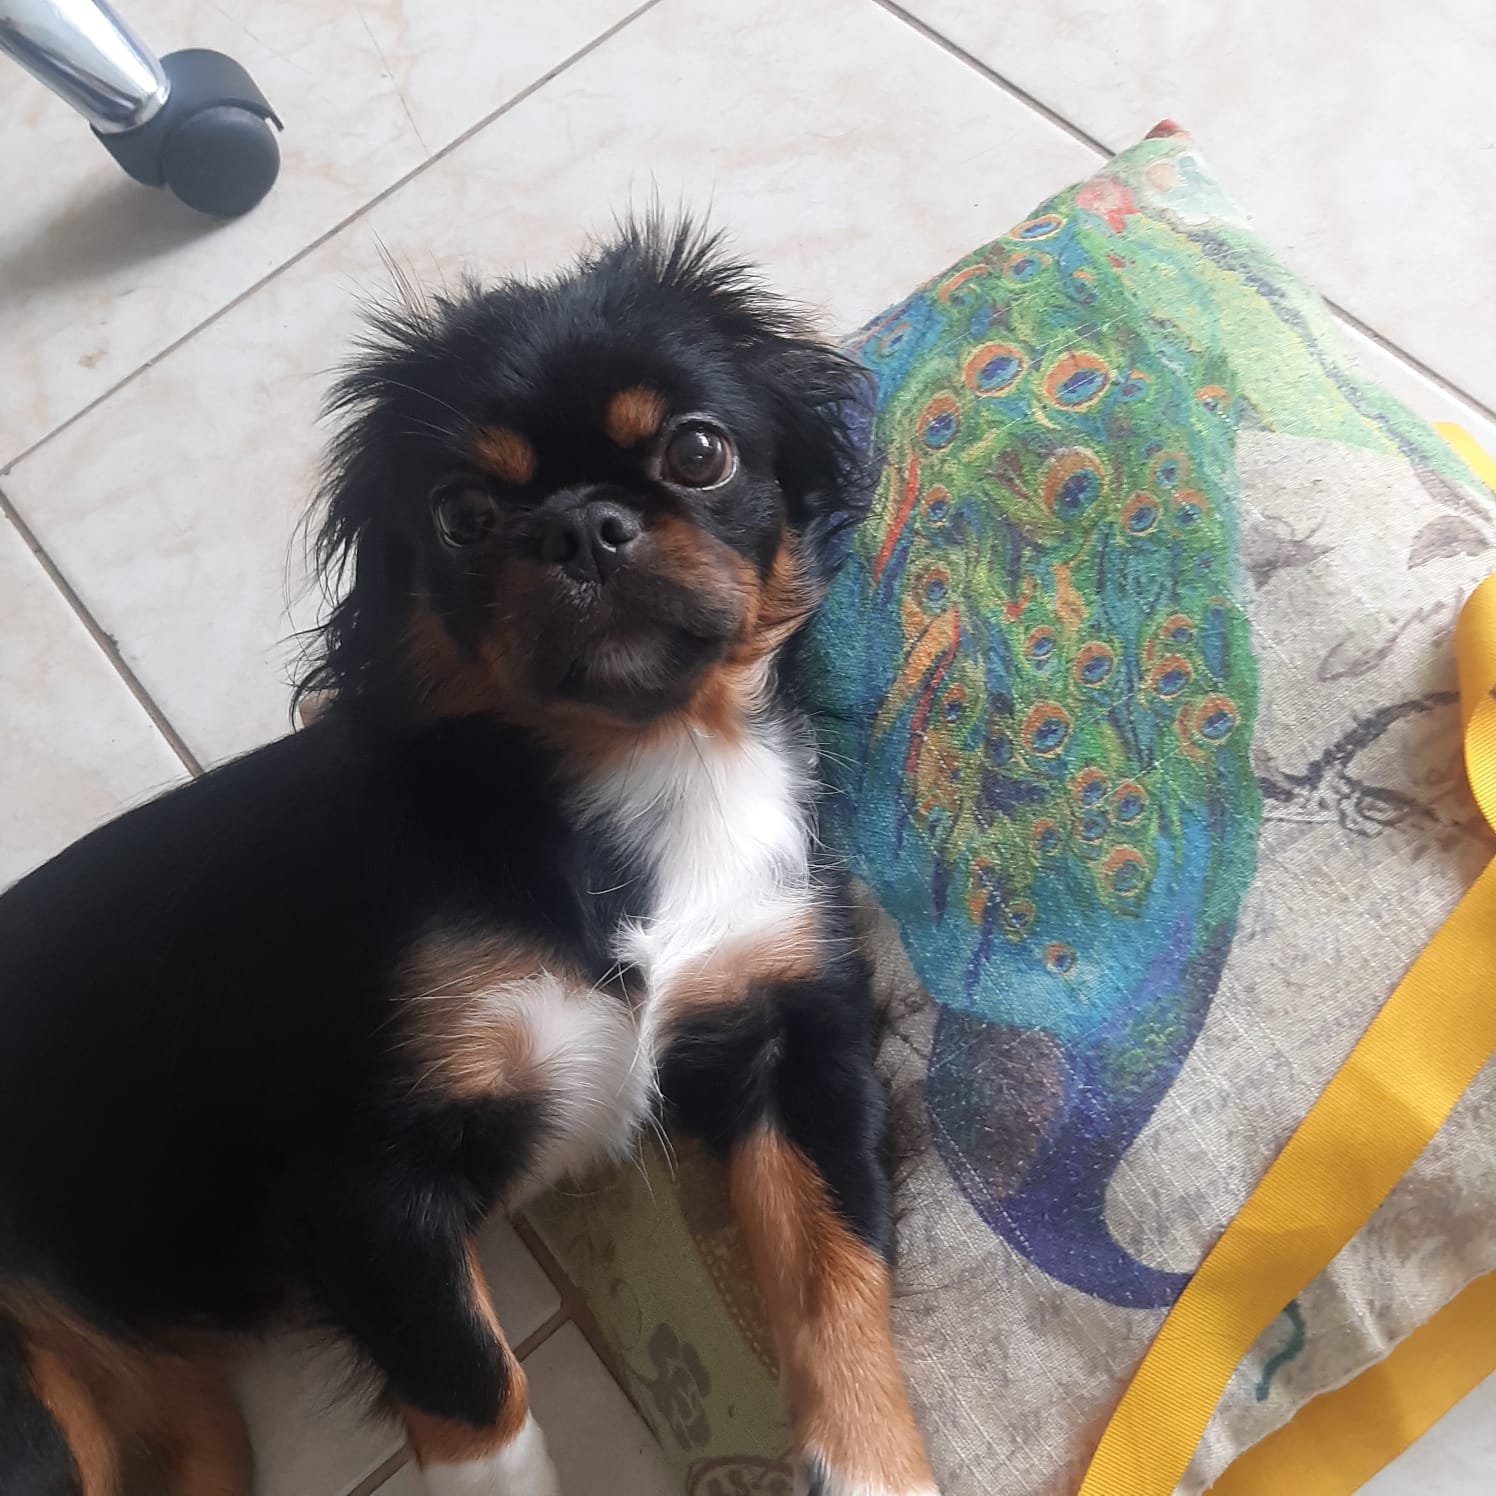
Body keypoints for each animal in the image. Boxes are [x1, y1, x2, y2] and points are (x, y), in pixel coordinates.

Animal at [0, 221, 939, 1496]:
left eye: (698, 450)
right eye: (459, 516)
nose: (583, 525)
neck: (640, 762)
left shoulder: (794, 1040)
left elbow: (840, 1277)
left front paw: (877, 1464)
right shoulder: (365, 1185)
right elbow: (474, 1388)